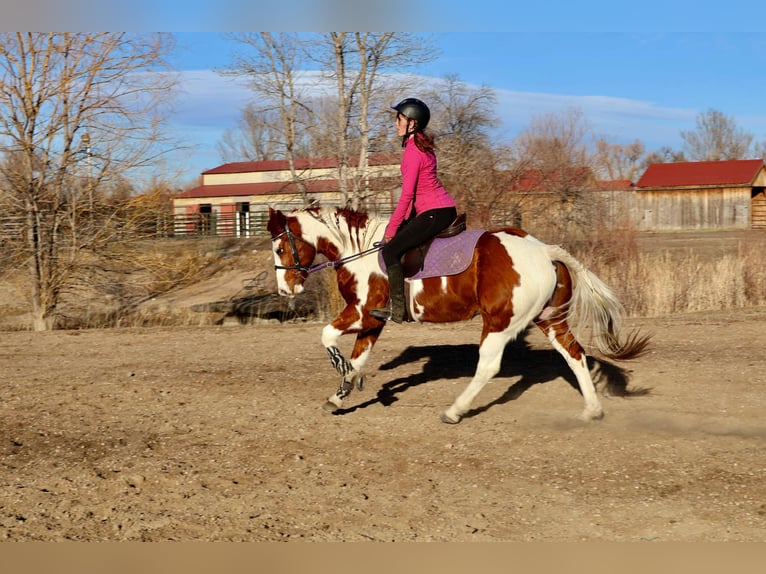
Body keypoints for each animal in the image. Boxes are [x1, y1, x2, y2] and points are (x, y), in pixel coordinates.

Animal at [267, 205, 649, 424]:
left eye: (281, 247)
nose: (286, 291)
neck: (357, 251)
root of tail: (544, 251)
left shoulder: (364, 313)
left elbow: (328, 336)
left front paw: (344, 374)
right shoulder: (373, 322)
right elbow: (359, 358)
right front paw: (340, 394)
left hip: (499, 322)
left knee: (489, 366)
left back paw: (455, 411)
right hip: (549, 319)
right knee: (575, 355)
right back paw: (592, 411)